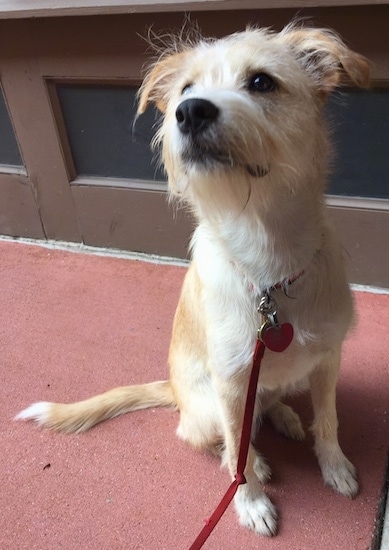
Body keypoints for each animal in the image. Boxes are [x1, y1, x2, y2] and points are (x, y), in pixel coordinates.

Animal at [15, 23, 370, 536]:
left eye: (262, 82)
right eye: (186, 89)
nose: (190, 111)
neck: (269, 264)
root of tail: (176, 392)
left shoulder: (326, 361)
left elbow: (328, 420)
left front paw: (335, 465)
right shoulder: (230, 384)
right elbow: (237, 453)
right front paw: (251, 501)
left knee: (267, 405)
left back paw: (284, 416)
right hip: (204, 410)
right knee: (222, 442)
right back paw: (257, 459)